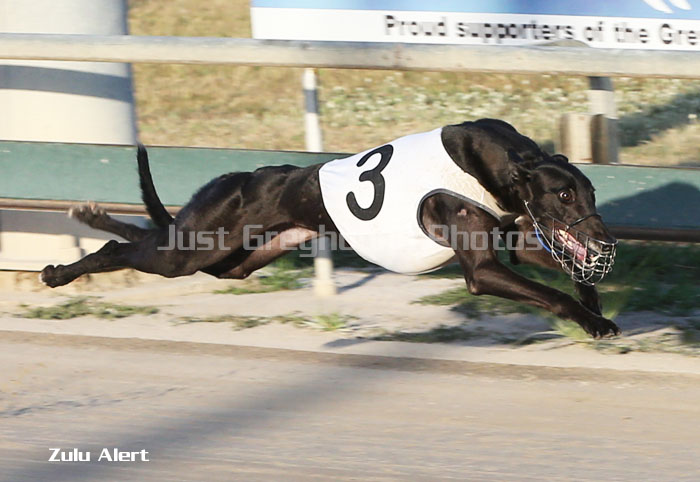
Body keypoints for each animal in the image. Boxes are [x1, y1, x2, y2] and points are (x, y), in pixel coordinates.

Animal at [40, 119, 620, 338]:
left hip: (234, 261)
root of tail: (231, 179)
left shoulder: (518, 239)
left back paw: (91, 220)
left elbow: (572, 274)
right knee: (124, 247)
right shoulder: (481, 268)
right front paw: (593, 324)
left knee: (146, 237)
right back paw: (60, 266)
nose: (604, 238)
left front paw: (595, 306)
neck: (503, 164)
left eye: (591, 191)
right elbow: (547, 291)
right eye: (564, 194)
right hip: (193, 249)